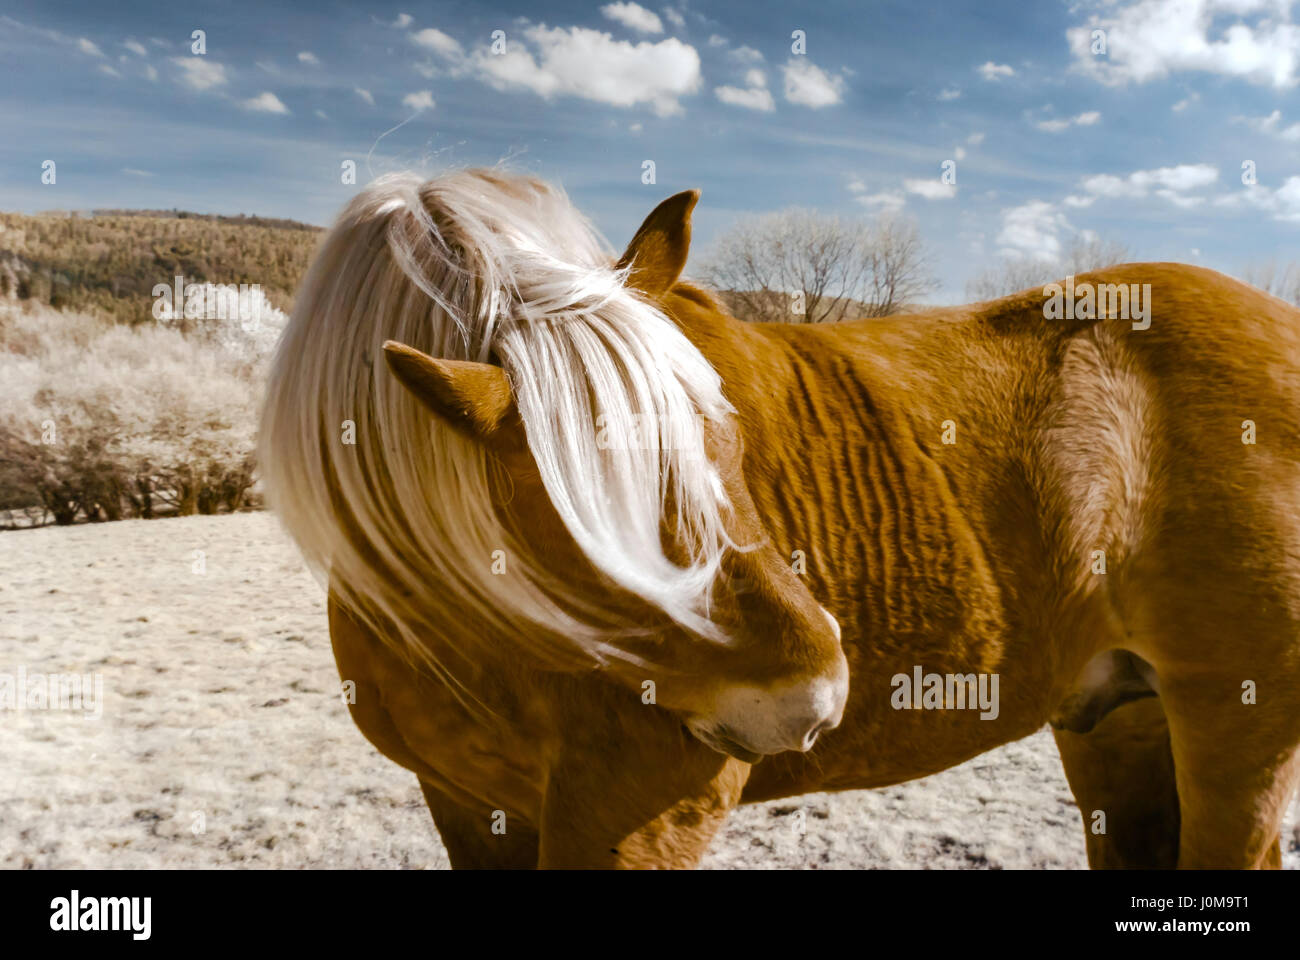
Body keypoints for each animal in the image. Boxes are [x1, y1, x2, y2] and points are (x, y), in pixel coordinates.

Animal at [258, 166, 1300, 868]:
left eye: (724, 428)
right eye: (569, 517)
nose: (814, 697)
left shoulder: (638, 809)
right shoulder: (468, 805)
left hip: (1238, 729)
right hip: (1119, 717)